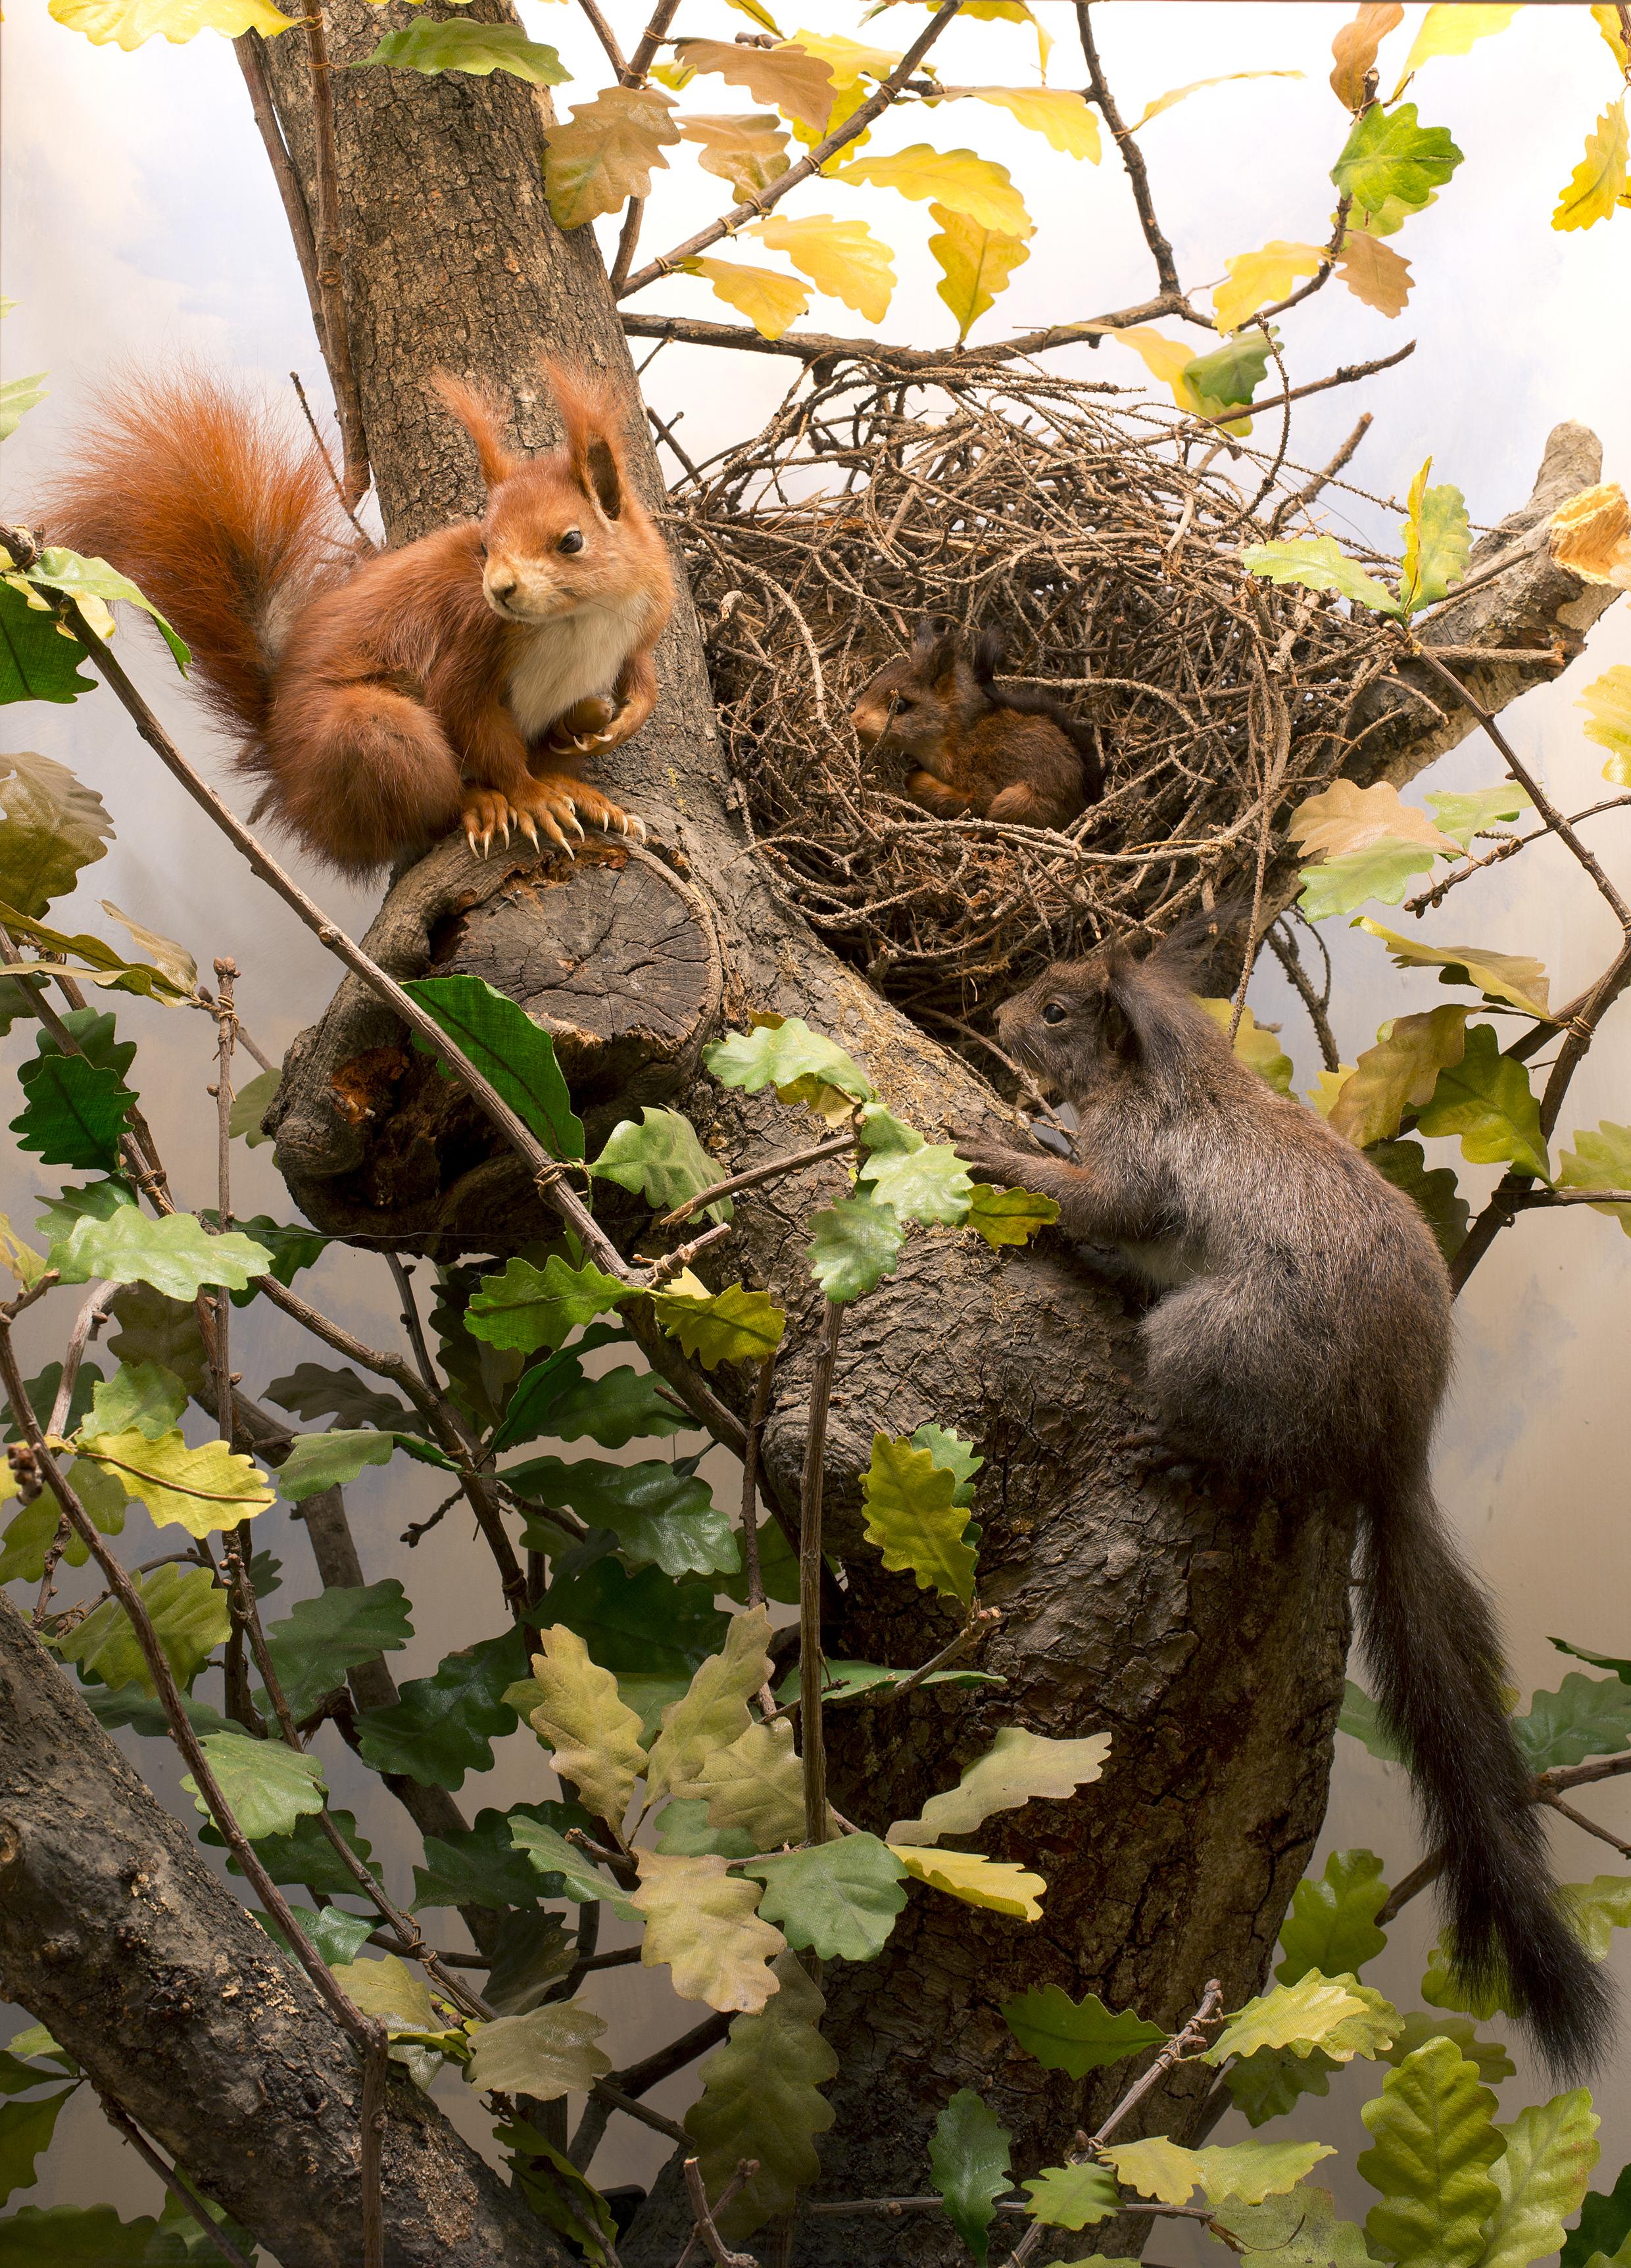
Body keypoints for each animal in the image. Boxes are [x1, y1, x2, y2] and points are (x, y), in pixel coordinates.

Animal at [41, 362, 671, 875]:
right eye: (485, 545)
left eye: (572, 540)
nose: (500, 589)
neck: (580, 618)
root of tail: (283, 761)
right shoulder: (470, 641)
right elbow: (474, 719)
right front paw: (530, 798)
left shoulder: (647, 616)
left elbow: (644, 674)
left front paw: (629, 718)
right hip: (370, 735)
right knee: (430, 807)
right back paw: (490, 799)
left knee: (568, 724)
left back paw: (581, 760)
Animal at [848, 617, 1102, 830]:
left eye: (900, 705)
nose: (854, 720)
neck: (954, 740)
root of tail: (1083, 799)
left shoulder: (975, 776)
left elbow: (977, 800)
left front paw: (916, 780)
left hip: (1016, 801)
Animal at [962, 916, 1615, 2077]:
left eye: (1058, 1010)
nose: (996, 1018)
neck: (1163, 1077)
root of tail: (1397, 1435)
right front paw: (1032, 1129)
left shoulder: (1142, 1155)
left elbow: (1107, 1196)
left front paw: (1008, 1150)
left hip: (1215, 1340)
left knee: (1257, 1454)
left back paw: (1181, 1448)